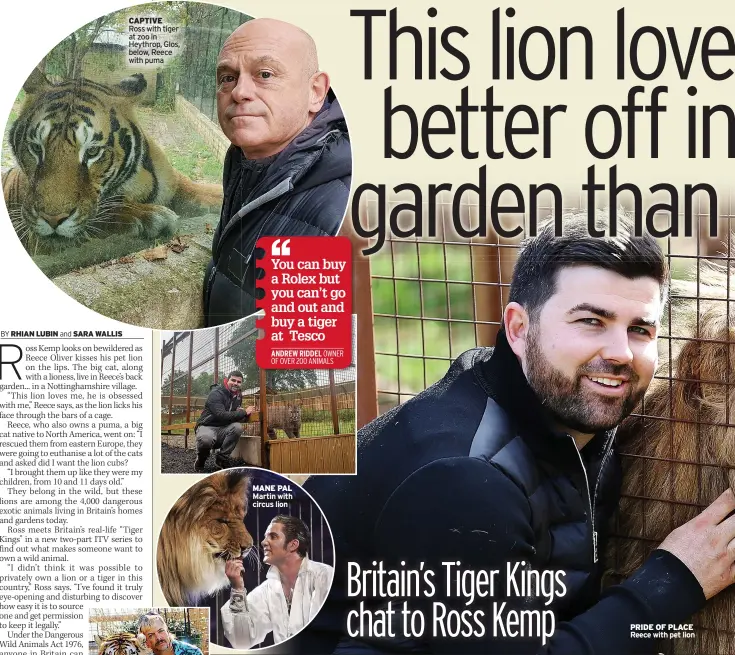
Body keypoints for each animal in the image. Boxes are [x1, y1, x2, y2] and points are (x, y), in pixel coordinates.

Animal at [2, 68, 221, 249]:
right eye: (35, 148)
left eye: (92, 152)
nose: (52, 219)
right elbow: (103, 211)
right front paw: (146, 215)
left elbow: (188, 184)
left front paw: (218, 195)